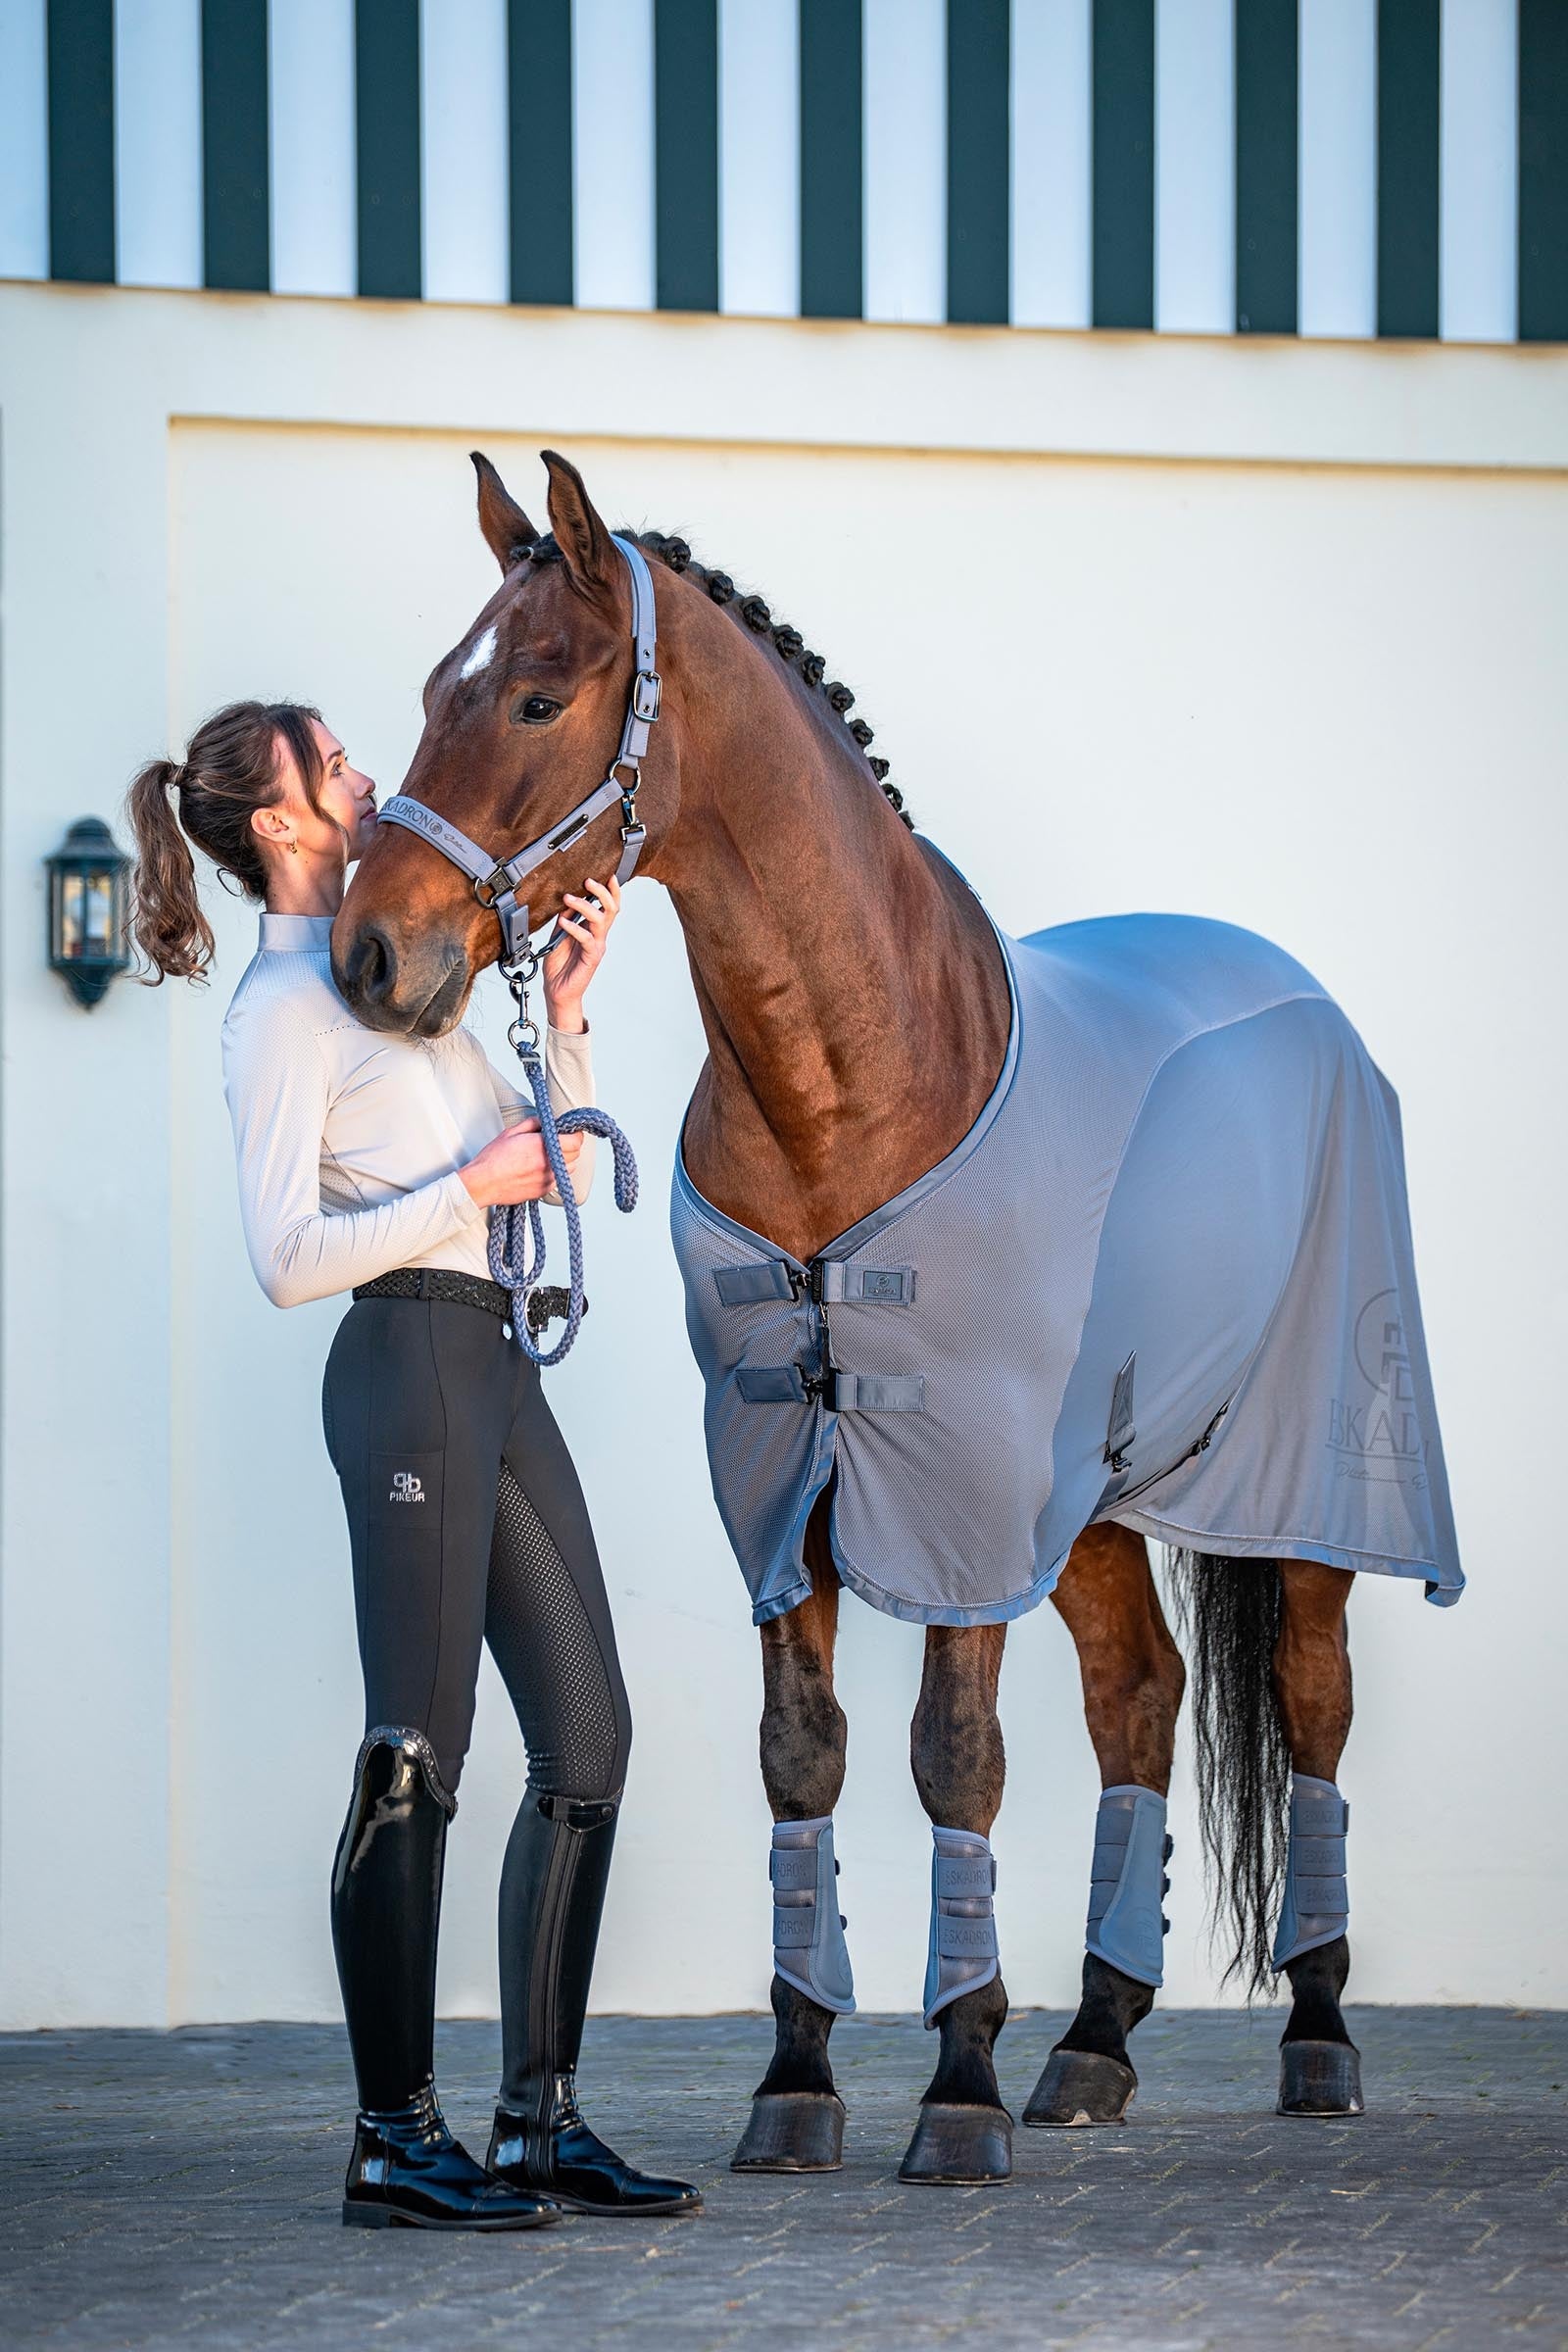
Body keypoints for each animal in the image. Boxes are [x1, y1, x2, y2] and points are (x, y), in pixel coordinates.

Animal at [333, 450, 1460, 2186]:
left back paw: (1318, 2038)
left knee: (1313, 1710)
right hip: (1095, 1500)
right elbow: (804, 1752)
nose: (371, 955)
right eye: (430, 694)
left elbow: (954, 1758)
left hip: (1307, 1488)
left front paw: (957, 2090)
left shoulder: (960, 1486)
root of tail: (1301, 999)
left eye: (533, 696)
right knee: (1138, 1700)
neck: (861, 1080)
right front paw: (798, 2083)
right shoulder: (782, 1478)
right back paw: (1093, 2043)